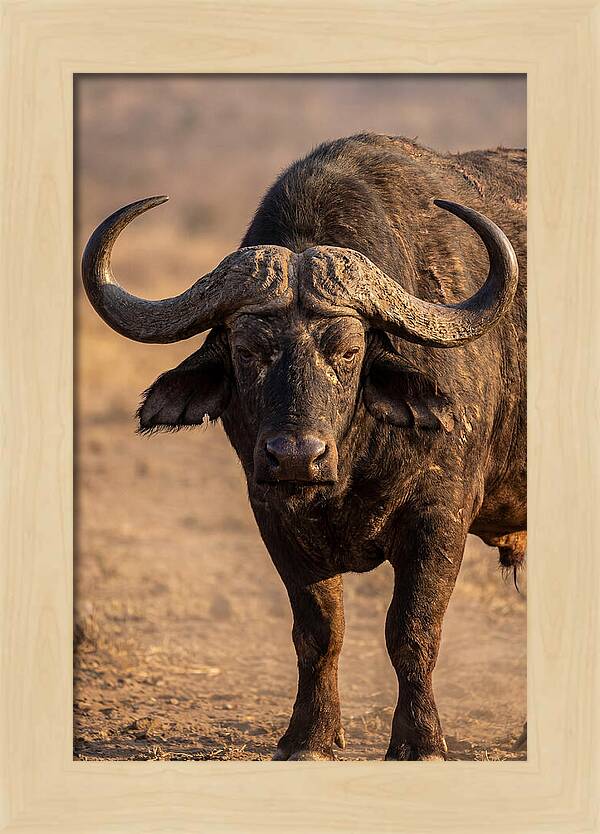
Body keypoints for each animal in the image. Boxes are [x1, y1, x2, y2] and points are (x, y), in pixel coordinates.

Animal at [82, 134, 526, 761]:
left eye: (348, 350)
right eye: (247, 350)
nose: (295, 456)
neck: (350, 465)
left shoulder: (440, 517)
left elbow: (412, 630)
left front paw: (420, 741)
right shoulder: (273, 516)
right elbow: (319, 631)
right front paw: (309, 737)